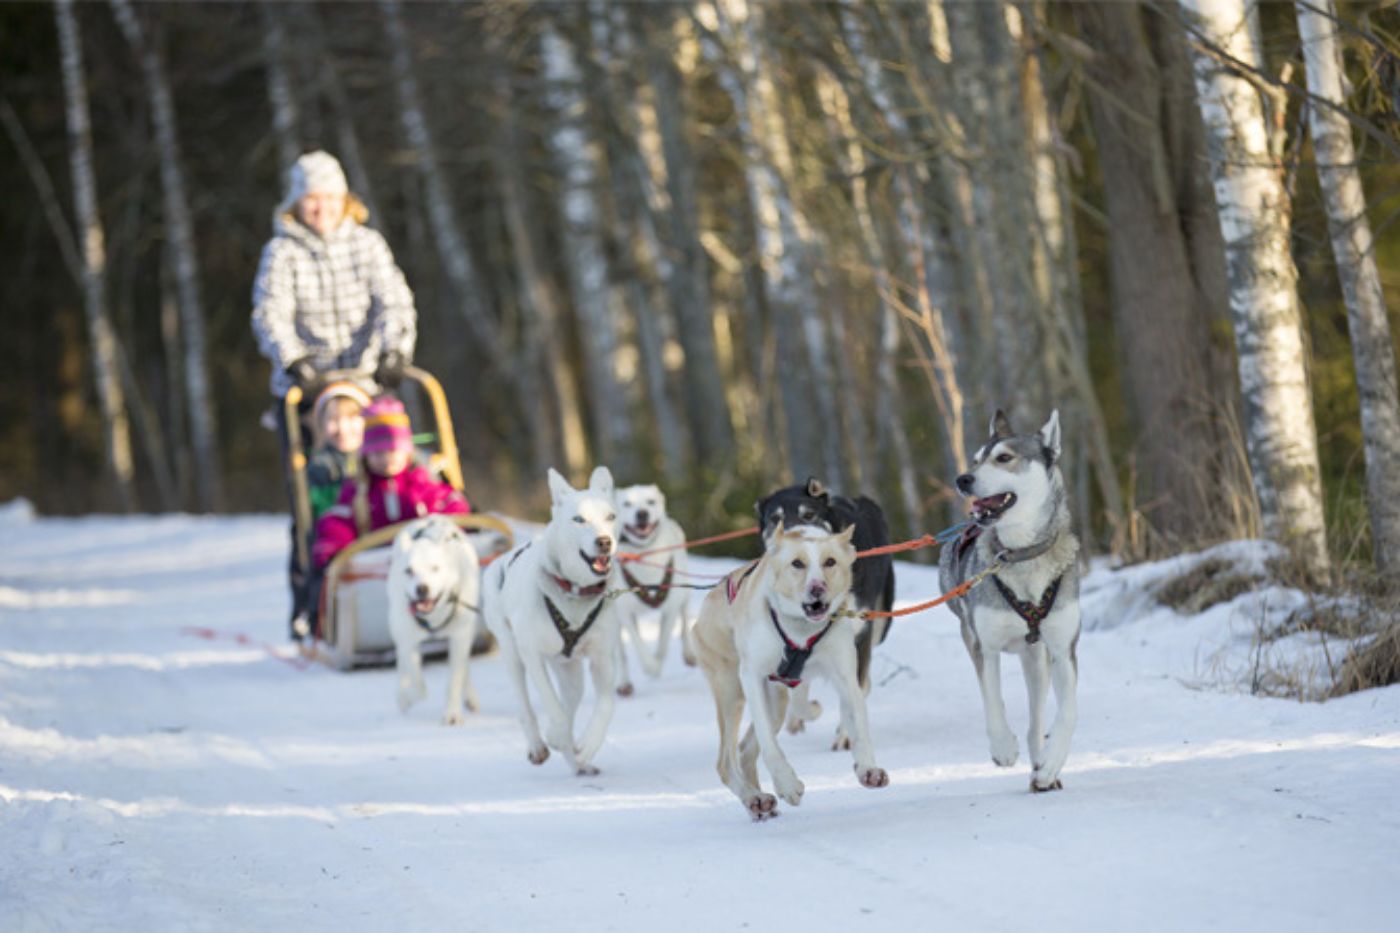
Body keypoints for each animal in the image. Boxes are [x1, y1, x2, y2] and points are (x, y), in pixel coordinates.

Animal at [386, 512, 484, 722]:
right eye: (409, 570)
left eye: (435, 568)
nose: (422, 588)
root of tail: (432, 517)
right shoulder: (408, 639)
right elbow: (419, 686)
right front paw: (408, 697)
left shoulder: (460, 636)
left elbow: (455, 678)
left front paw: (452, 714)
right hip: (397, 628)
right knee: (402, 662)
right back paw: (402, 694)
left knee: (464, 665)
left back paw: (470, 696)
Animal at [484, 462, 621, 767]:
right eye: (579, 519)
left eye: (610, 516)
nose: (604, 542)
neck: (574, 591)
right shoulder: (532, 654)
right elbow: (549, 700)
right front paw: (556, 733)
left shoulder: (602, 658)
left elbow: (606, 703)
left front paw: (587, 745)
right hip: (512, 652)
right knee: (526, 703)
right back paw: (539, 743)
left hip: (569, 668)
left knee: (571, 698)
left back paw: (573, 752)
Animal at [616, 487, 697, 689]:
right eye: (627, 503)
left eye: (650, 501)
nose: (642, 513)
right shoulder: (624, 612)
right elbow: (637, 644)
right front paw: (650, 666)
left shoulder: (670, 608)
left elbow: (663, 644)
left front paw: (657, 663)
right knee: (620, 650)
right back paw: (624, 682)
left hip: (685, 591)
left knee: (684, 620)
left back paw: (689, 653)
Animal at [694, 518, 890, 818]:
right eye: (797, 563)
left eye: (830, 562)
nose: (817, 588)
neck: (800, 630)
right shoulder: (752, 677)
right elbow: (769, 744)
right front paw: (787, 783)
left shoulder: (845, 675)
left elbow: (857, 722)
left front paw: (868, 767)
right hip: (731, 691)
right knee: (726, 761)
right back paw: (753, 796)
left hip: (775, 702)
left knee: (745, 750)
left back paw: (758, 801)